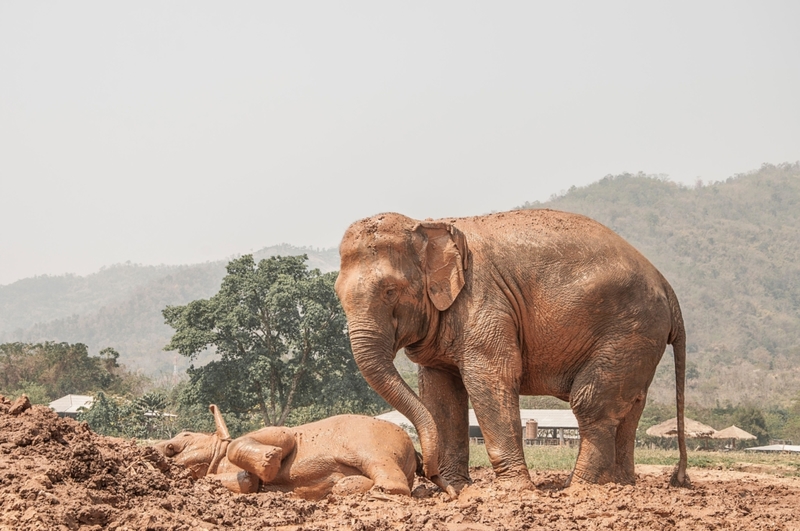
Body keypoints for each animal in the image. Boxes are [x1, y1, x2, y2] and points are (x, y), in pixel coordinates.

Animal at [152, 408, 422, 498]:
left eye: (172, 448)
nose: (151, 450)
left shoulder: (277, 432)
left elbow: (284, 437)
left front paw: (269, 462)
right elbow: (248, 483)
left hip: (372, 442)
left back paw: (382, 492)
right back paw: (344, 487)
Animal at [334, 208, 692, 494]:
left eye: (390, 291)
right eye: (337, 293)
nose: (427, 472)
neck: (431, 223)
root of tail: (668, 288)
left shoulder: (483, 301)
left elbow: (491, 378)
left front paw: (510, 491)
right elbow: (441, 394)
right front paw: (458, 489)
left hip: (630, 330)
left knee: (592, 404)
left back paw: (577, 489)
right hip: (639, 341)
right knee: (631, 406)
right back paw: (619, 486)